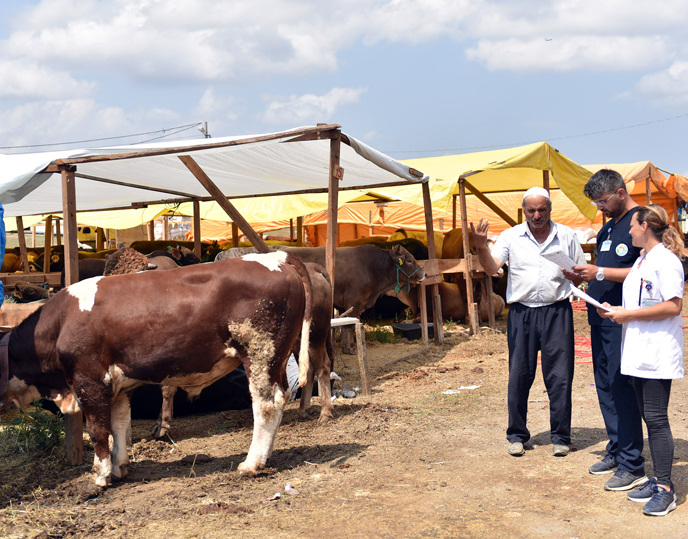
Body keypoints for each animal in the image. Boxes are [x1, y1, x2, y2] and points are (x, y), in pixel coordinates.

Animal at [0, 251, 312, 488]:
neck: (60, 323)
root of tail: (276, 256)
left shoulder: (89, 380)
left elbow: (99, 430)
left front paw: (100, 476)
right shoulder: (118, 386)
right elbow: (120, 425)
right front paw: (119, 468)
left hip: (259, 354)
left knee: (266, 406)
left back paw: (252, 463)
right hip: (278, 358)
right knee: (281, 398)